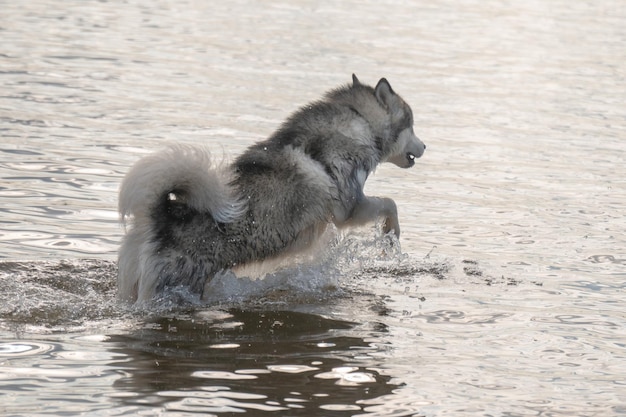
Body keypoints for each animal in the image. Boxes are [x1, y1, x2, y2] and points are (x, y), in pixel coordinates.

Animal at [117, 75, 424, 302]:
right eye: (412, 123)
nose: (424, 146)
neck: (358, 121)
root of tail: (161, 216)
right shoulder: (349, 209)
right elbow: (389, 202)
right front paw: (391, 234)